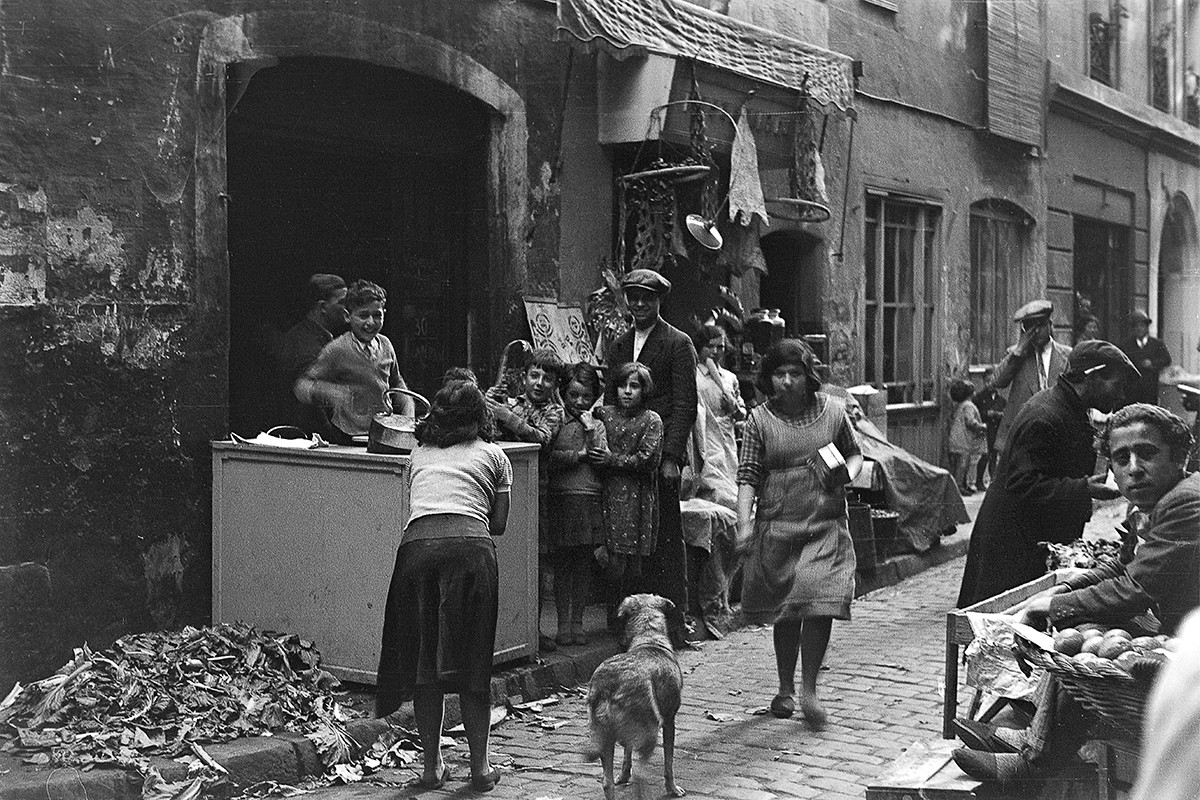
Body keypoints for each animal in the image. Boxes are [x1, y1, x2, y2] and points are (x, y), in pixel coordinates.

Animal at [585, 594, 691, 800]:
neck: (649, 637)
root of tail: (608, 684)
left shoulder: (630, 734)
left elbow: (627, 756)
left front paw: (623, 776)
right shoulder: (669, 721)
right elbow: (669, 762)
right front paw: (673, 788)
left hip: (605, 738)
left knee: (607, 782)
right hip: (650, 732)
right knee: (641, 776)